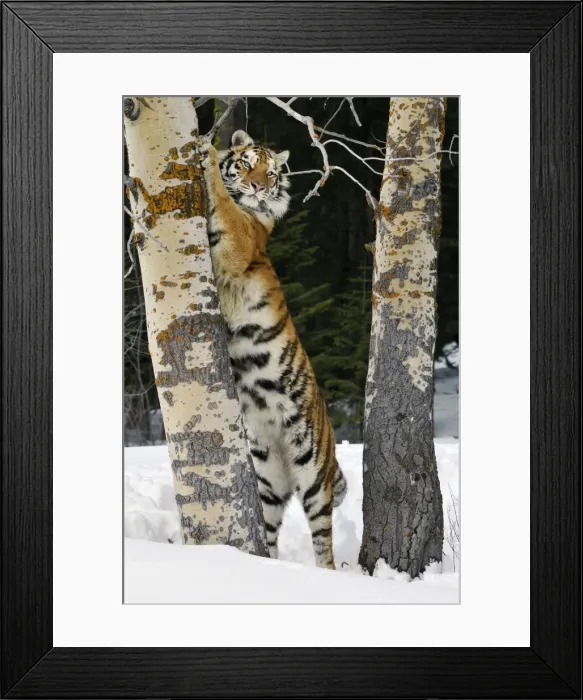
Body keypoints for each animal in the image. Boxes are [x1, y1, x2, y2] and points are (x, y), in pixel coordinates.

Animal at [197, 129, 347, 569]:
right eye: (248, 164)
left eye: (272, 172)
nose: (259, 187)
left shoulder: (240, 235)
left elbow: (223, 199)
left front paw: (205, 148)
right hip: (267, 480)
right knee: (269, 531)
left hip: (314, 473)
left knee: (323, 541)